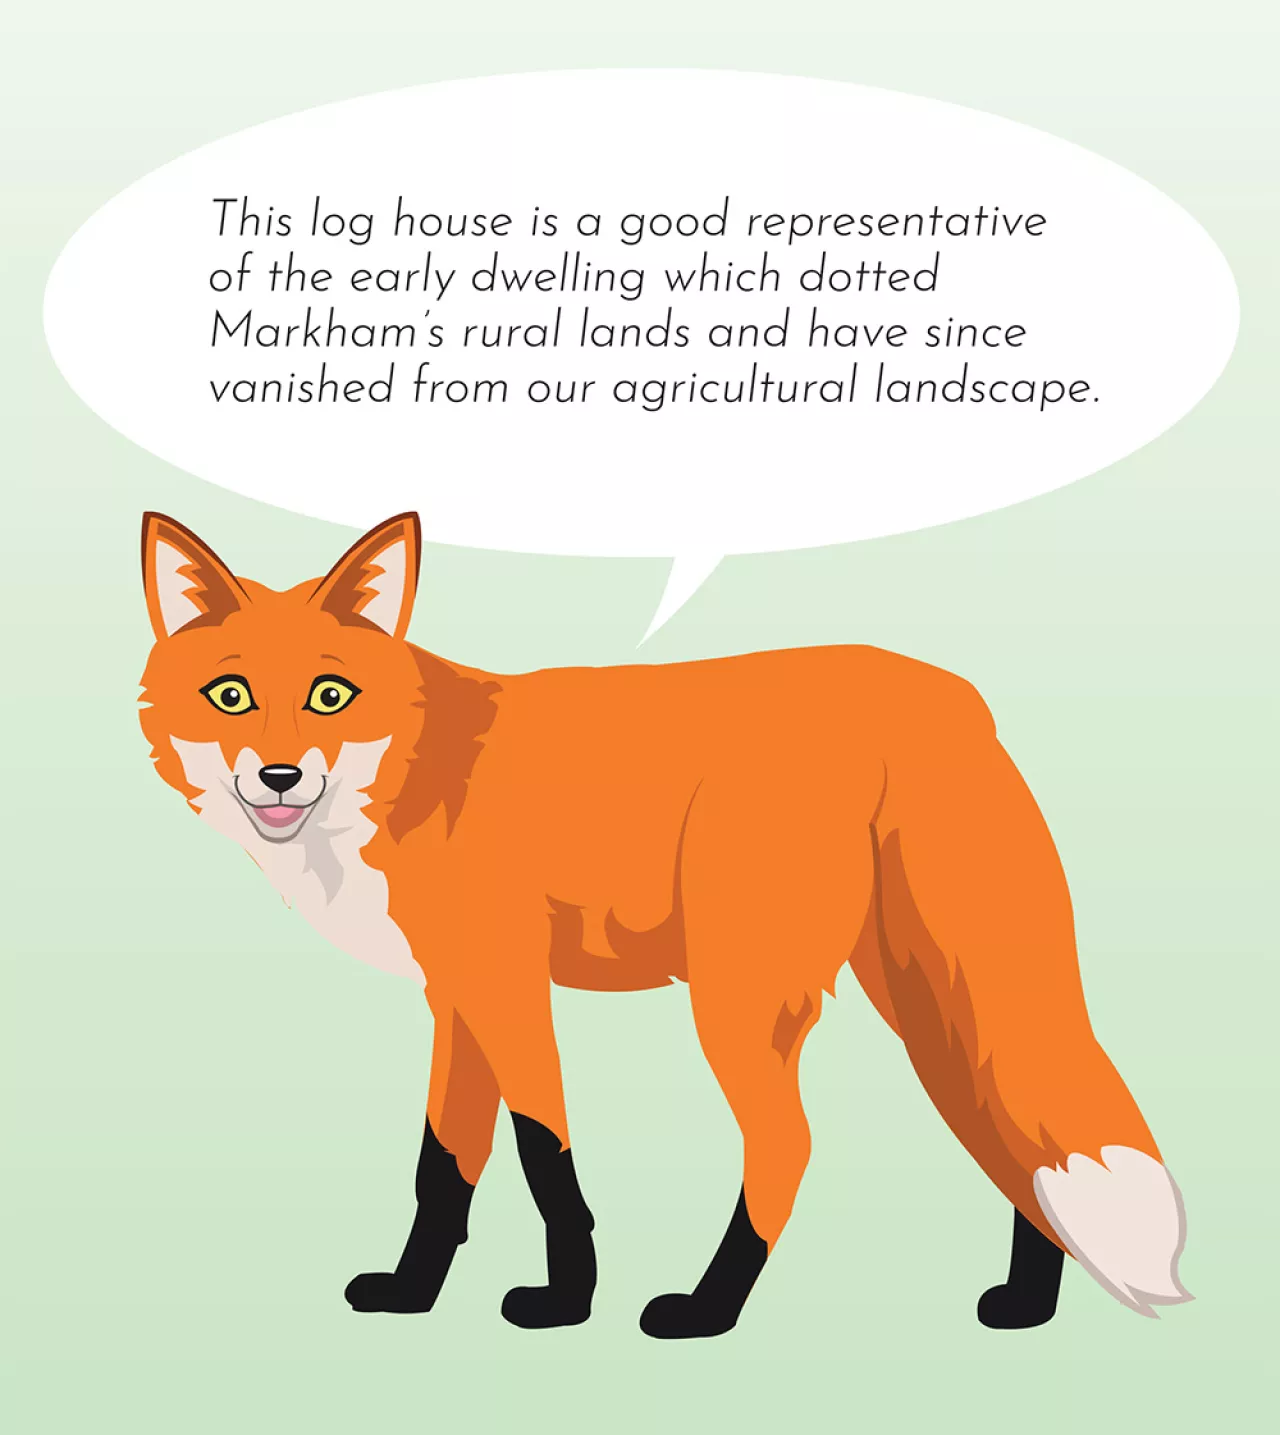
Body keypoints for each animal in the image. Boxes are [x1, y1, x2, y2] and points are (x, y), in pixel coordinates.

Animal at [138, 509, 1192, 1337]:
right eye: (230, 696)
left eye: (330, 696)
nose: (280, 777)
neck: (414, 770)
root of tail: (953, 695)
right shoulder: (458, 1001)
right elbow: (444, 1167)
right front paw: (411, 1293)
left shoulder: (508, 985)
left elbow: (544, 1155)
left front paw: (567, 1302)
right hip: (919, 987)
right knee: (1004, 1126)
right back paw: (1029, 1303)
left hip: (739, 994)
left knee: (792, 1144)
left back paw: (708, 1309)